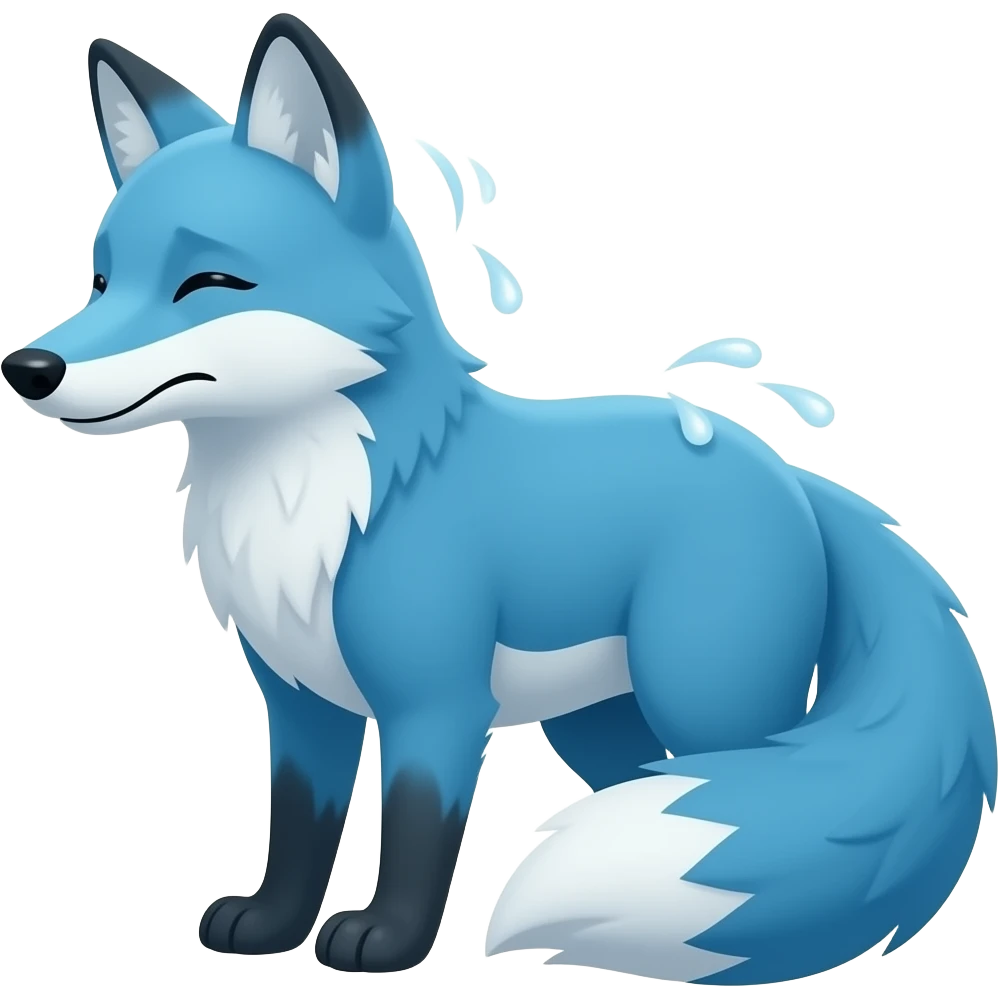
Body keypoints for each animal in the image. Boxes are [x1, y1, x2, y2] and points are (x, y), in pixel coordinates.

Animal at [3, 12, 994, 985]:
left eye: (208, 284)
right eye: (102, 281)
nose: (30, 367)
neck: (316, 501)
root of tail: (787, 472)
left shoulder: (435, 701)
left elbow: (415, 831)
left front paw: (385, 942)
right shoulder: (300, 701)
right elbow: (298, 828)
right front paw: (272, 924)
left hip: (707, 698)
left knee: (771, 802)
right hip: (598, 720)